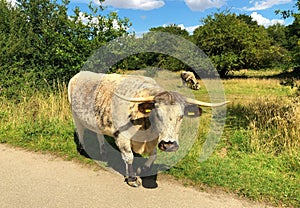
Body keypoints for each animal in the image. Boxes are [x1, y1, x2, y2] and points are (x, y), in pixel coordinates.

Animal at [68, 71, 227, 187]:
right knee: (80, 132)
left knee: (99, 134)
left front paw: (144, 168)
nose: (169, 145)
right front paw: (132, 178)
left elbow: (154, 155)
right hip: (76, 116)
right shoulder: (122, 137)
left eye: (181, 116)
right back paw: (83, 149)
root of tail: (79, 74)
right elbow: (129, 157)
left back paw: (103, 151)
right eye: (157, 113)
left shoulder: (154, 139)